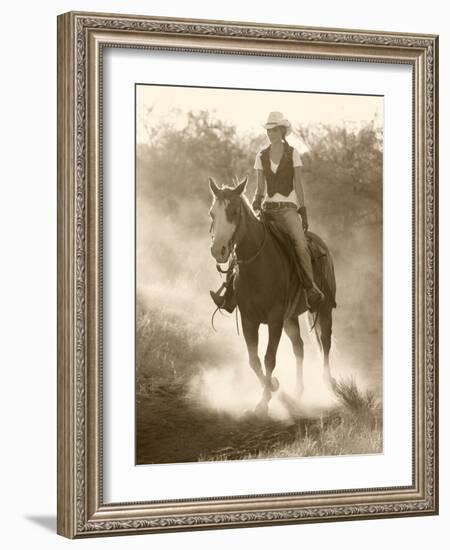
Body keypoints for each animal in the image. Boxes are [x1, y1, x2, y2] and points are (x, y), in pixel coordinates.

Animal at [209, 176, 336, 414]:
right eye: (212, 213)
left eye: (233, 211)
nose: (218, 250)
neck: (259, 265)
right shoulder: (249, 319)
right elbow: (254, 360)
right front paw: (274, 387)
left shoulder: (275, 318)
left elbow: (269, 358)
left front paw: (263, 401)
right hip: (290, 318)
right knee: (299, 347)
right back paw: (297, 392)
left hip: (323, 309)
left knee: (325, 341)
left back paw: (327, 383)